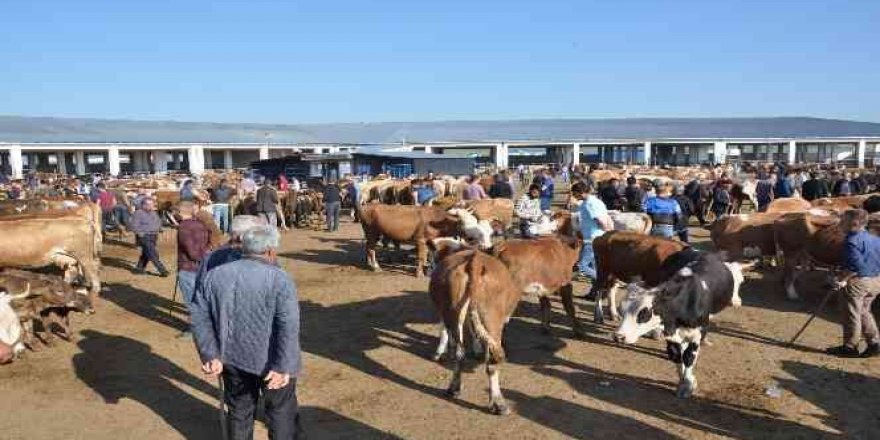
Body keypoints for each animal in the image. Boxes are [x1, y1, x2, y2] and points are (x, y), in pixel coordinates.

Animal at [616, 251, 744, 398]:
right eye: (621, 310)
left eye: (643, 313)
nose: (618, 336)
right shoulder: (670, 333)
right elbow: (677, 356)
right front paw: (684, 380)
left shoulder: (697, 333)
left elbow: (689, 357)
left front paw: (688, 384)